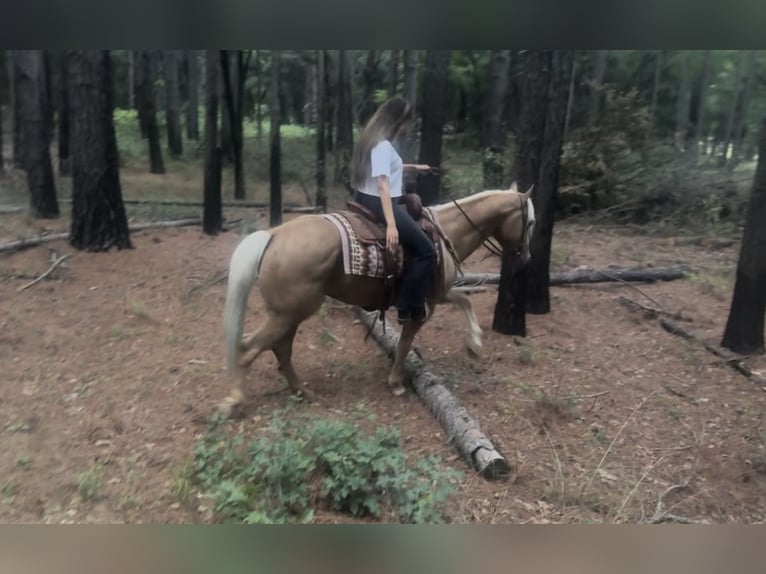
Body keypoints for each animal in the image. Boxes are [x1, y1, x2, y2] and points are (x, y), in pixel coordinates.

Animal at [220, 182, 536, 414]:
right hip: (289, 313)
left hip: (289, 314)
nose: (526, 259)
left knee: (279, 349)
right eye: (531, 222)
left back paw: (301, 391)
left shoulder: (437, 294)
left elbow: (465, 301)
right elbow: (406, 343)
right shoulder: (422, 306)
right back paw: (235, 399)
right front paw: (396, 382)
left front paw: (474, 345)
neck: (446, 233)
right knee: (250, 348)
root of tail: (273, 234)